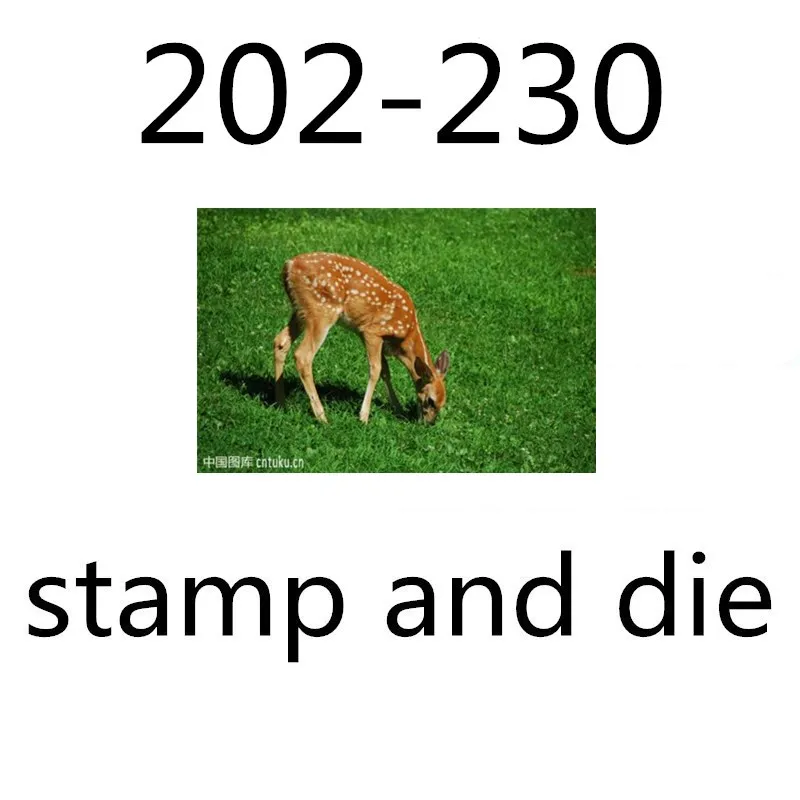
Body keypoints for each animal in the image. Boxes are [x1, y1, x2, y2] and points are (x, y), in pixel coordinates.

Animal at [273, 252, 450, 424]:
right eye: (430, 401)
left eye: (442, 404)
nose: (428, 423)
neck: (406, 338)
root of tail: (289, 265)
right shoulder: (372, 331)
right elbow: (376, 369)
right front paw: (363, 416)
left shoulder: (372, 337)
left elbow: (386, 371)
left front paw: (398, 409)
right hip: (321, 312)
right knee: (303, 355)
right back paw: (322, 417)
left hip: (301, 311)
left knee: (280, 342)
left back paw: (281, 404)